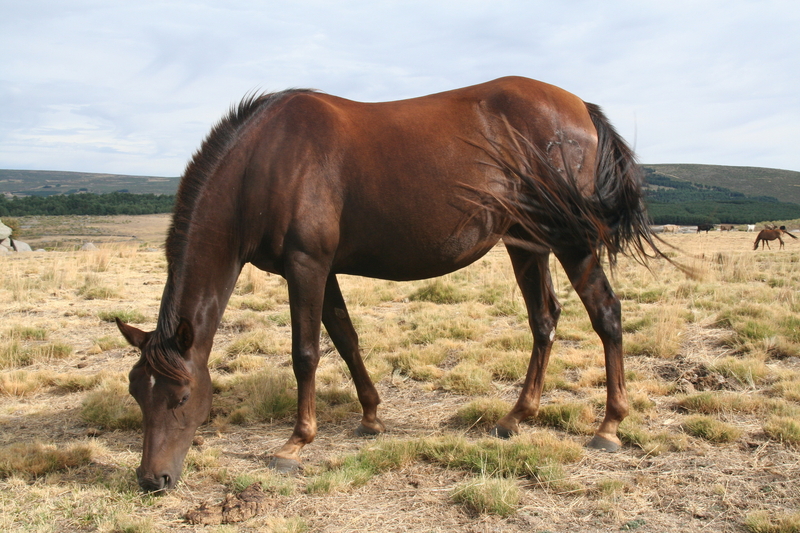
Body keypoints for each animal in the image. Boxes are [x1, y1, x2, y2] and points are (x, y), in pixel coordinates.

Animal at [115, 76, 663, 492]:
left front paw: (295, 444)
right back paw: (516, 417)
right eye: (137, 393)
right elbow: (346, 338)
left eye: (181, 398)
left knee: (606, 313)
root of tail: (581, 108)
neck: (264, 162)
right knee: (544, 319)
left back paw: (610, 425)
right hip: (527, 243)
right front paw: (371, 417)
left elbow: (306, 353)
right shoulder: (321, 269)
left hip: (571, 240)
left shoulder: (307, 265)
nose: (152, 480)